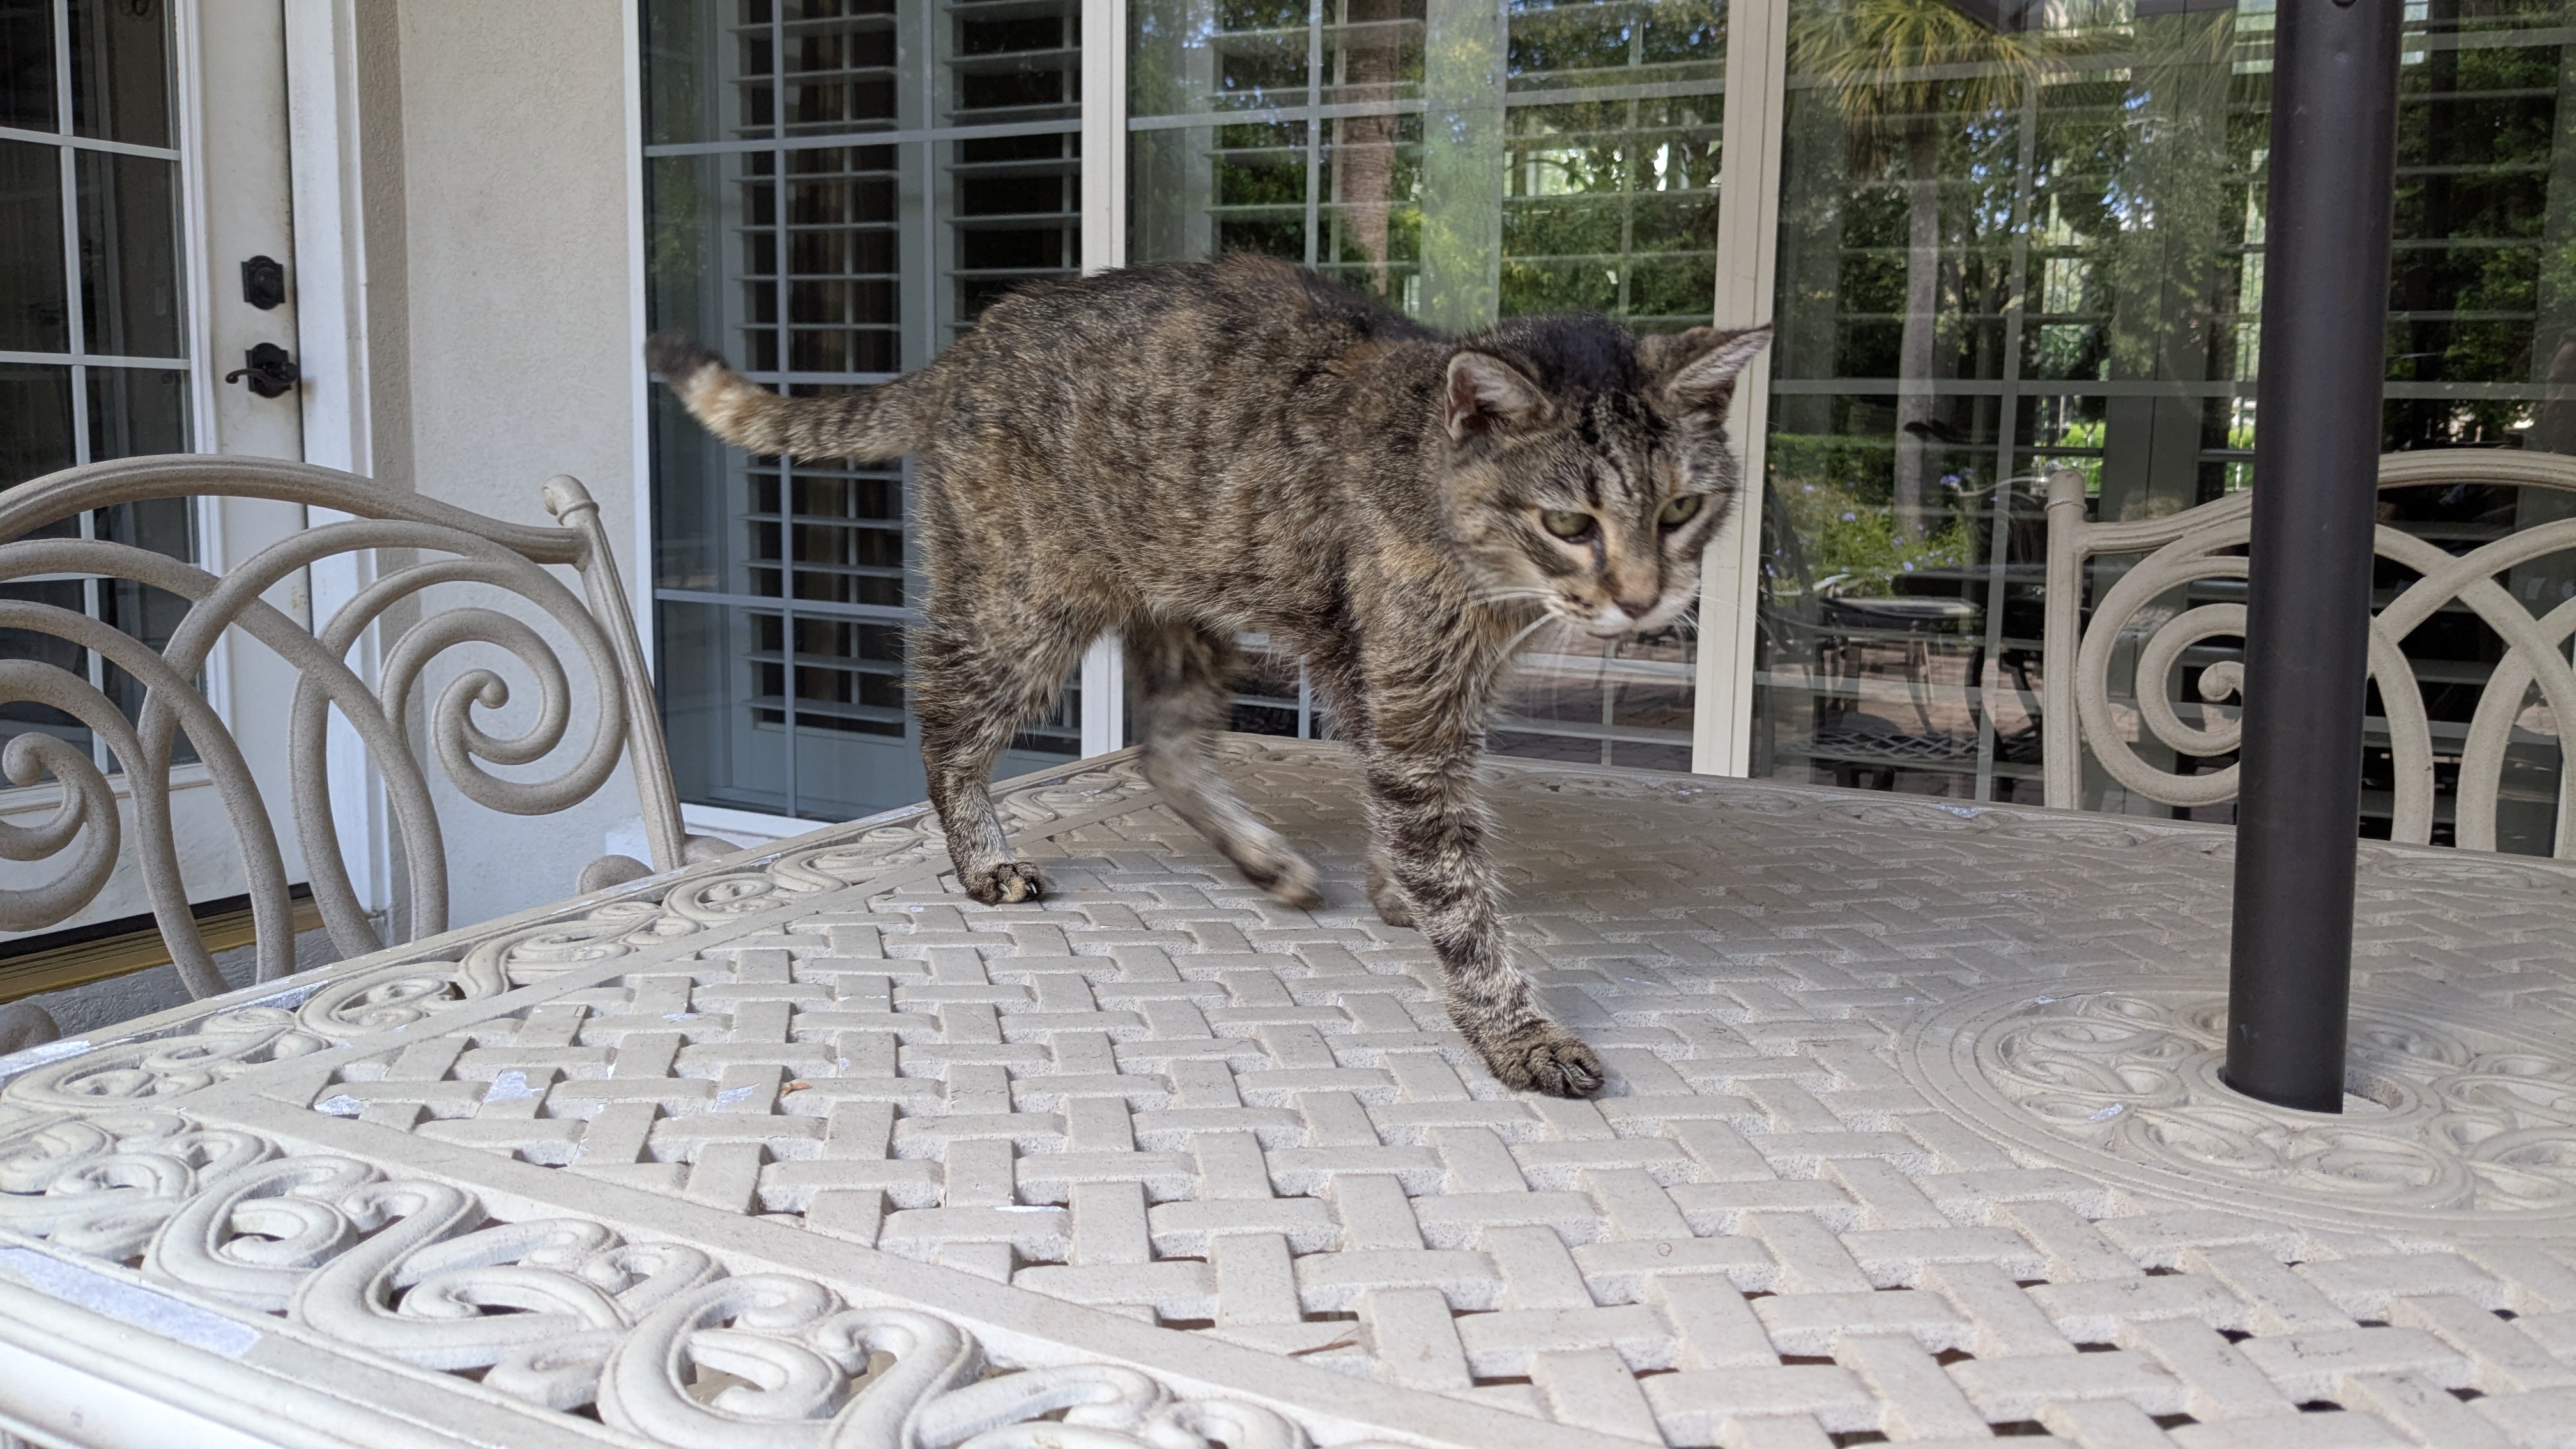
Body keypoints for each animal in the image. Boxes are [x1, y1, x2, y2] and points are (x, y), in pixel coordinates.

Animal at [648, 256, 1768, 1097]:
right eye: (1570, 523)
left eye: (1680, 511)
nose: (1643, 600)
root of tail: (972, 344)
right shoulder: (1409, 702)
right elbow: (1456, 886)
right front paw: (1514, 1028)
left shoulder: (1406, 690)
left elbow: (1402, 829)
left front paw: (1389, 887)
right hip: (1022, 607)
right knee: (945, 723)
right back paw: (982, 858)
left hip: (1188, 609)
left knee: (1164, 749)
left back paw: (1264, 859)